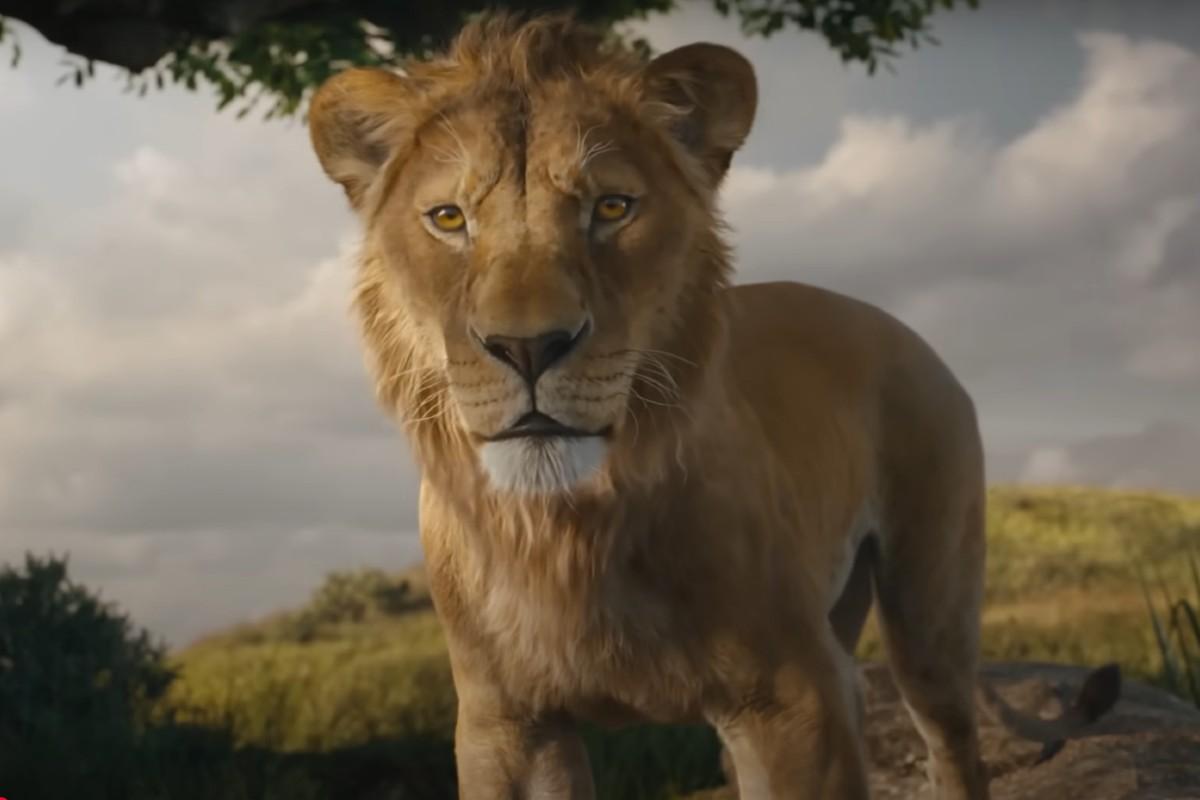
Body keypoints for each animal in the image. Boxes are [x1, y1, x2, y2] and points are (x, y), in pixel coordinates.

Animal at [307, 13, 1117, 799]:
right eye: (448, 219)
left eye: (612, 207)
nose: (528, 347)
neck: (567, 530)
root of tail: (898, 326)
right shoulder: (505, 725)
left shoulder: (790, 701)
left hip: (929, 611)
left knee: (952, 747)